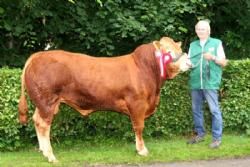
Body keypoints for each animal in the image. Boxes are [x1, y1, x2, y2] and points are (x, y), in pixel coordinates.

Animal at [18, 36, 189, 162]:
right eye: (168, 52)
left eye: (179, 49)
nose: (189, 62)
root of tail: (38, 55)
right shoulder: (137, 104)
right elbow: (139, 127)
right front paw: (142, 150)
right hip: (47, 101)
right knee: (43, 125)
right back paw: (51, 156)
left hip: (42, 104)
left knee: (36, 120)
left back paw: (43, 152)